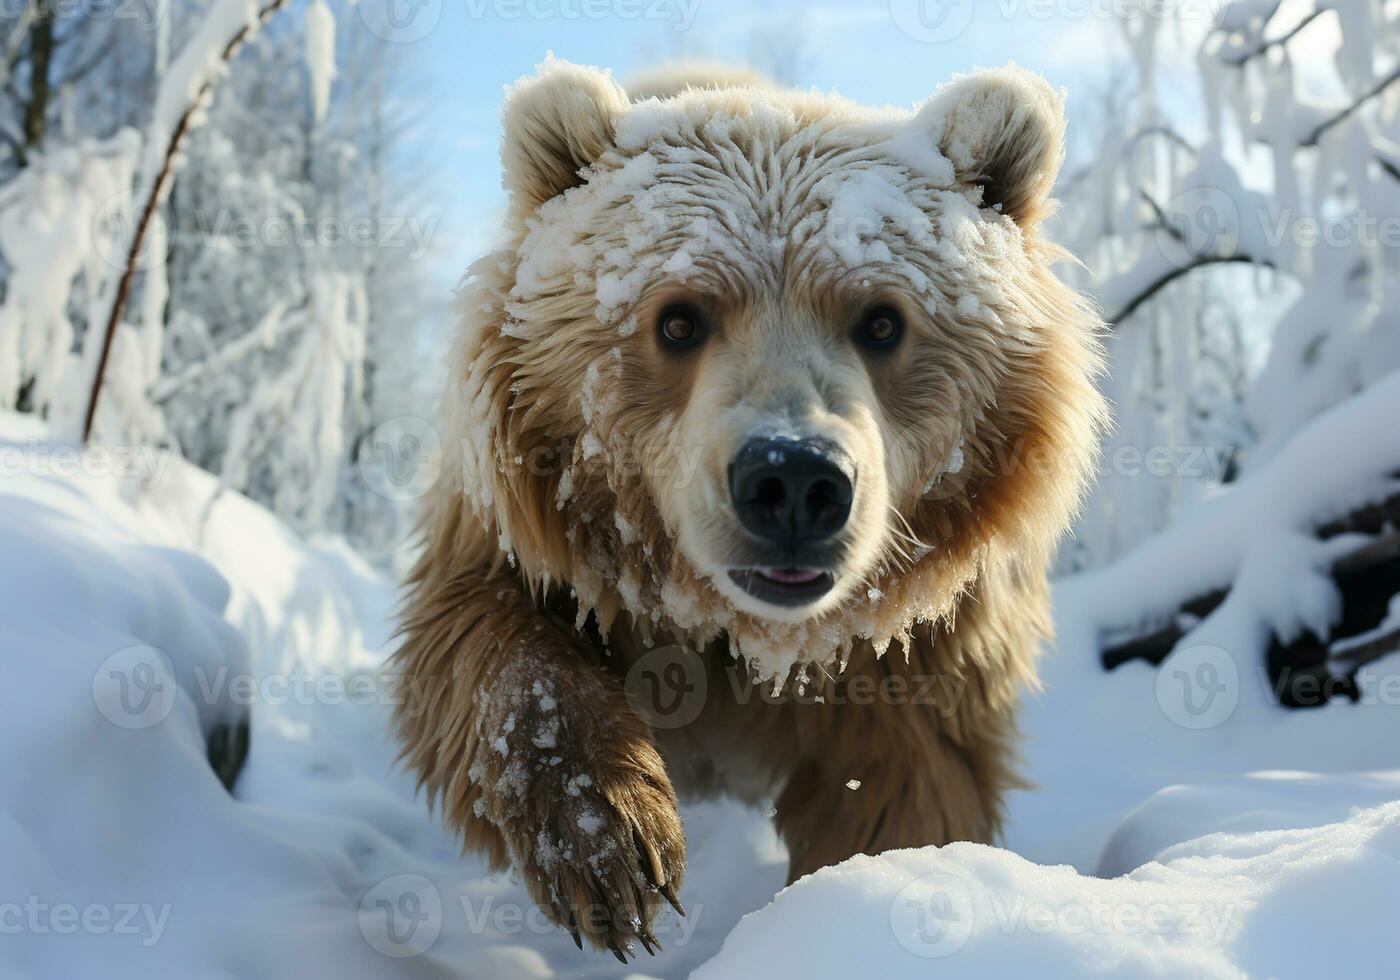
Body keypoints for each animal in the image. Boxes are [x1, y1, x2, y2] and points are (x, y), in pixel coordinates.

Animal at [394, 57, 1103, 963]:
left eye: (882, 320)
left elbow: (903, 786)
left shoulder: (918, 649)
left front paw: (855, 903)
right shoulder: (525, 525)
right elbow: (479, 639)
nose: (794, 480)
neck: (736, 630)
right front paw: (611, 844)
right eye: (678, 319)